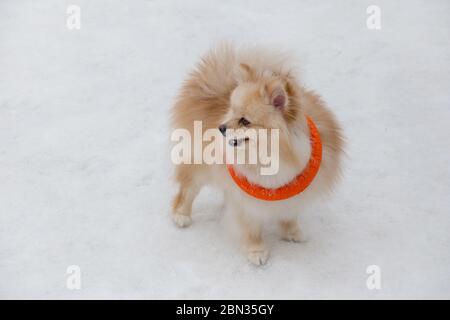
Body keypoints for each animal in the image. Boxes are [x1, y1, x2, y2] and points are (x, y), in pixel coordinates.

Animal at [171, 44, 342, 264]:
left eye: (244, 121)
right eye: (232, 111)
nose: (221, 127)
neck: (274, 155)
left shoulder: (292, 195)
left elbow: (289, 215)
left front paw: (291, 233)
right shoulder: (246, 203)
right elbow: (251, 229)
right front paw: (257, 252)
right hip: (200, 166)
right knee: (188, 188)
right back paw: (181, 215)